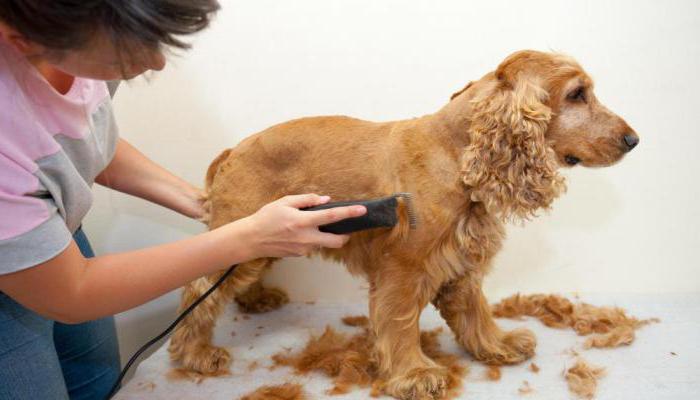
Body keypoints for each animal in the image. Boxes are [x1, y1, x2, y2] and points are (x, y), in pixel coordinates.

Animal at [167, 50, 636, 400]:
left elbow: (475, 311)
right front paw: (414, 374)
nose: (633, 140)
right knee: (198, 292)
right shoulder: (403, 269)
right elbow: (400, 322)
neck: (456, 153)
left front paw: (496, 346)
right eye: (577, 94)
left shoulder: (461, 263)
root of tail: (233, 150)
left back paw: (257, 300)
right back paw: (196, 354)